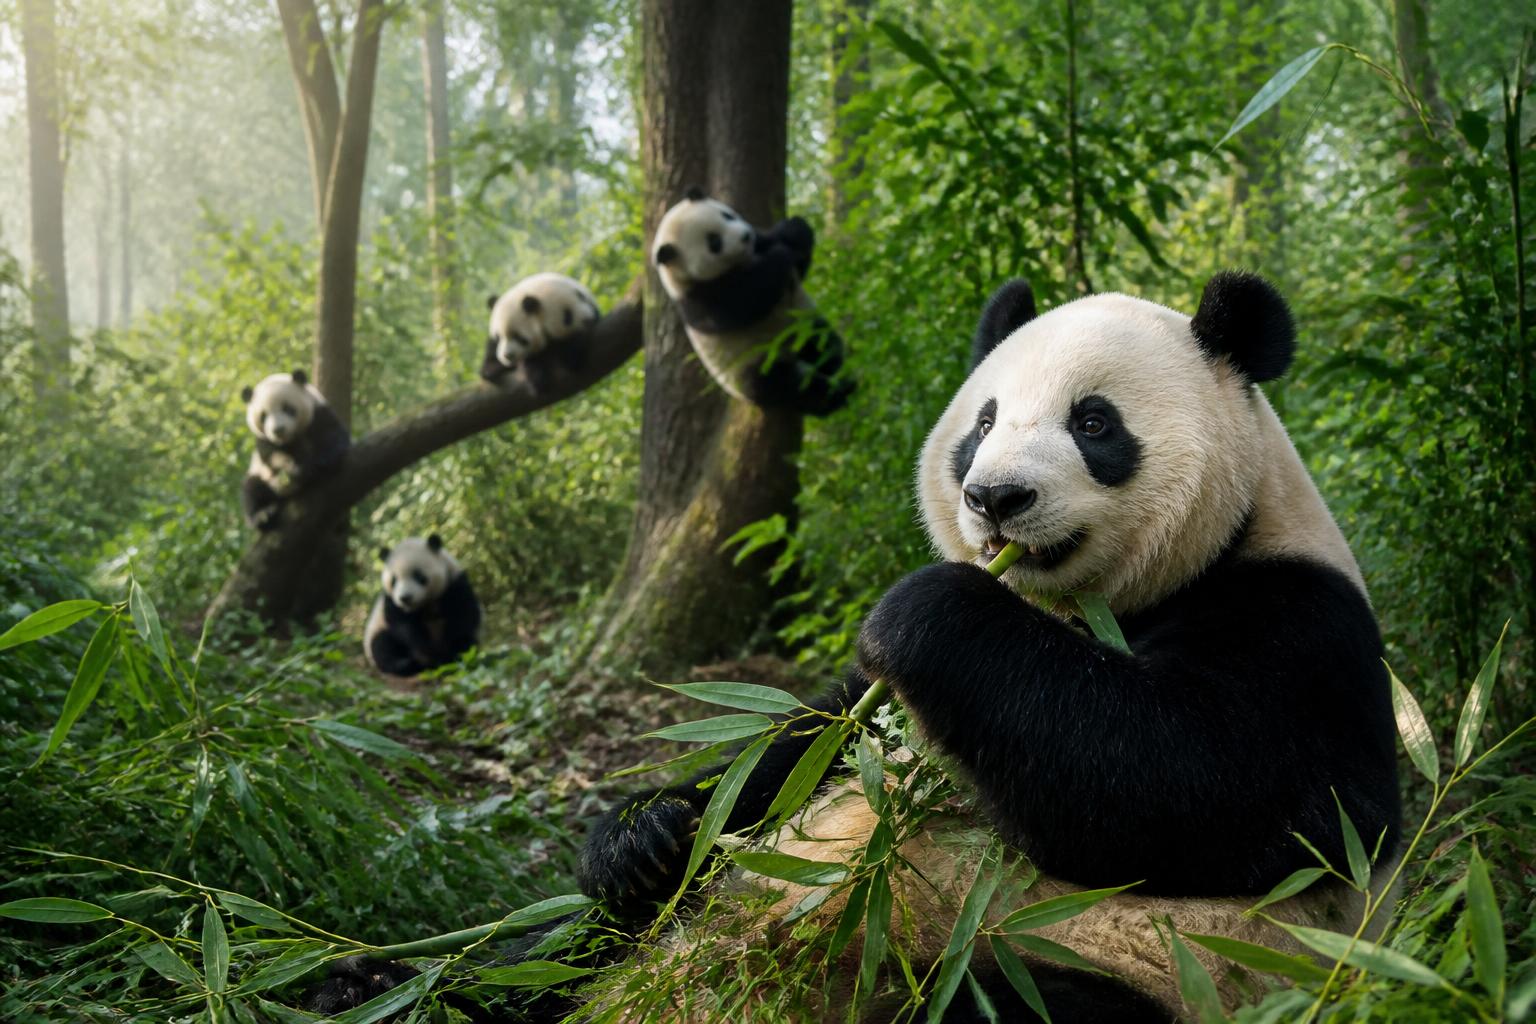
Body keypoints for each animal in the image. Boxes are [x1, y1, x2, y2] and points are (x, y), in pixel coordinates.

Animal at [240, 370, 350, 531]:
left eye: (287, 408)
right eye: (264, 416)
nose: (278, 430)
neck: (290, 438)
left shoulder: (318, 414)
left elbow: (333, 434)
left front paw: (325, 460)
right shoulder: (263, 440)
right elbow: (273, 456)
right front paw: (297, 469)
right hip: (262, 477)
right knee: (251, 489)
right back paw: (263, 515)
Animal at [364, 535, 482, 678]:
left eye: (418, 575)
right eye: (394, 580)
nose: (405, 598)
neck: (425, 602)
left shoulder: (454, 583)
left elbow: (463, 617)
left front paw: (453, 654)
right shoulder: (390, 601)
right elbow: (403, 626)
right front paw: (427, 653)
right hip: (377, 630)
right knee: (382, 645)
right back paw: (405, 664)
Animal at [573, 272, 1402, 1021]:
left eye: (1094, 424)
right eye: (984, 424)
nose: (995, 498)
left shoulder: (1300, 626)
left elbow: (1200, 780)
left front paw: (927, 609)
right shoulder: (878, 710)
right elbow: (794, 750)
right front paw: (639, 835)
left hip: (1084, 970)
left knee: (1014, 1004)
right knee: (578, 943)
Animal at [652, 188, 854, 416]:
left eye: (727, 216)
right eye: (714, 242)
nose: (745, 236)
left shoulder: (760, 243)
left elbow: (792, 249)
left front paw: (792, 230)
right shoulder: (698, 297)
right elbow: (745, 302)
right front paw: (780, 255)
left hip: (799, 324)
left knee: (821, 341)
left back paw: (834, 367)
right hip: (750, 365)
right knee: (783, 386)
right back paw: (832, 396)